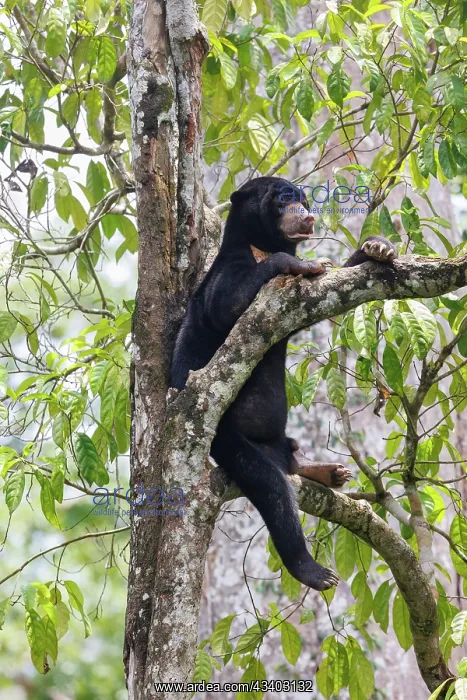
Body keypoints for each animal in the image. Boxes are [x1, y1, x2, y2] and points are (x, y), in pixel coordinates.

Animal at [170, 176, 397, 590]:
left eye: (304, 200)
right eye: (281, 199)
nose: (307, 216)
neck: (260, 244)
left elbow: (329, 295)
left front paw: (378, 247)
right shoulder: (227, 272)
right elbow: (225, 307)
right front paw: (304, 263)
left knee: (289, 459)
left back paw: (327, 470)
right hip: (227, 438)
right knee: (272, 487)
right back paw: (314, 571)